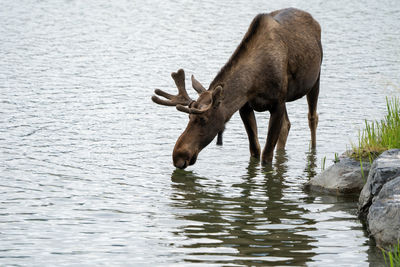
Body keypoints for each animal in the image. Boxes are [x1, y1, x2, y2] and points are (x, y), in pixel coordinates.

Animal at [152, 8, 324, 170]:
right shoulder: (245, 106)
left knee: (312, 118)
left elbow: (266, 156)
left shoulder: (278, 103)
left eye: (203, 119)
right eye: (189, 117)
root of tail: (313, 20)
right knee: (286, 126)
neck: (254, 82)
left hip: (316, 78)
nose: (178, 157)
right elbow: (255, 150)